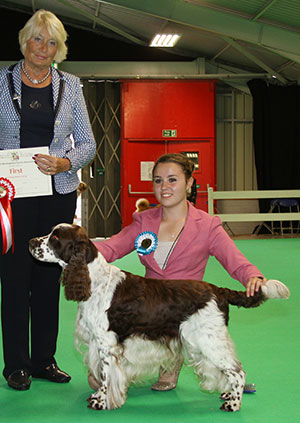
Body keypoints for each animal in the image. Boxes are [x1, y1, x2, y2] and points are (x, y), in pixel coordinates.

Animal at [29, 225, 290, 414]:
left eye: (55, 237)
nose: (31, 242)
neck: (94, 280)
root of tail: (219, 290)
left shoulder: (106, 344)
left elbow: (105, 376)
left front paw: (101, 402)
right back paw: (227, 394)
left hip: (209, 340)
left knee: (237, 371)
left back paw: (233, 404)